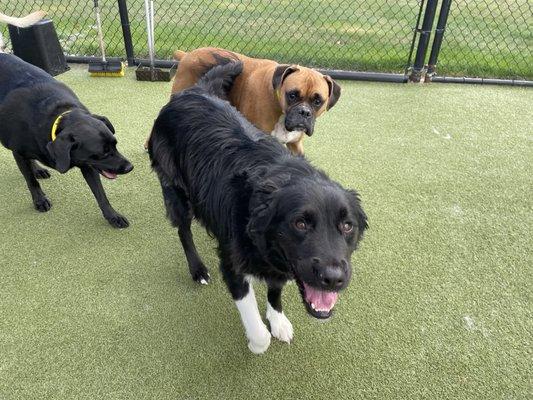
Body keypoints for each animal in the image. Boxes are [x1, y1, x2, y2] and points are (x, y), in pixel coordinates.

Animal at [148, 61, 368, 354]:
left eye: (347, 226)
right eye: (300, 223)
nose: (333, 279)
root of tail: (193, 92)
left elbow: (275, 290)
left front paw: (278, 320)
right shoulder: (231, 260)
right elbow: (252, 313)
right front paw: (257, 341)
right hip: (176, 191)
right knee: (184, 231)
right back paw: (198, 269)